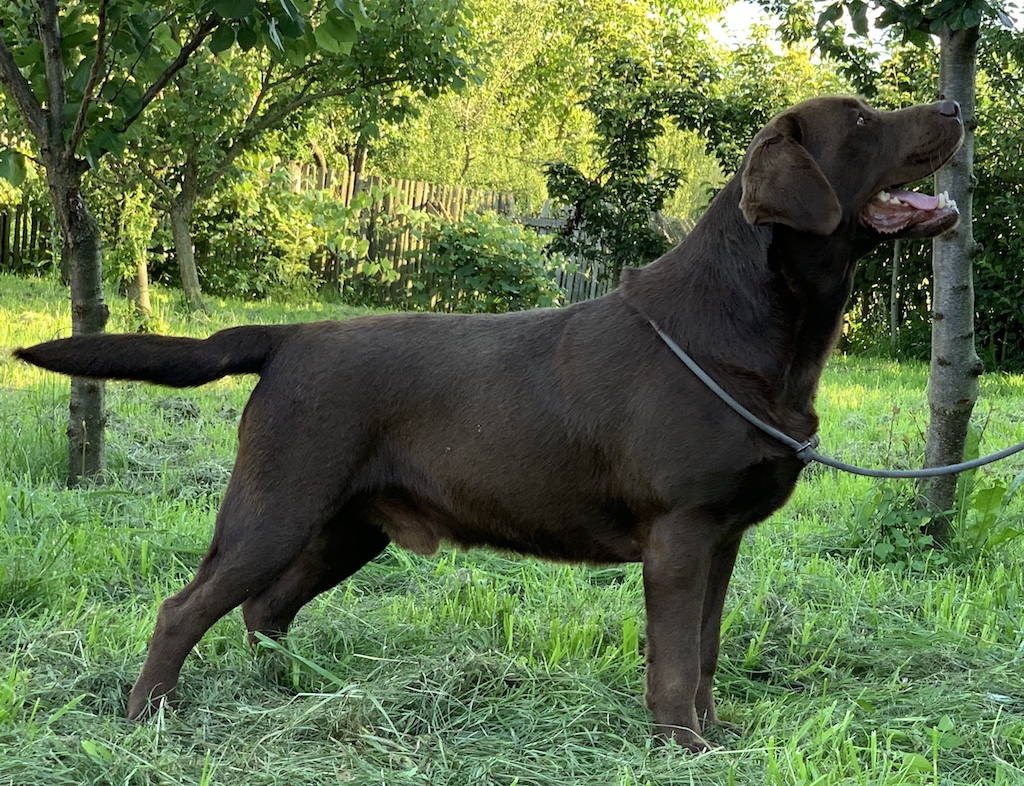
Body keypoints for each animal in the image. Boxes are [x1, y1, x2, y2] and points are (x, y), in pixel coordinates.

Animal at [14, 95, 958, 753]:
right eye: (863, 121)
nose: (954, 108)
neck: (750, 334)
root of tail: (287, 336)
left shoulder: (722, 537)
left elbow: (709, 651)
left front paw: (711, 737)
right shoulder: (681, 535)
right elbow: (675, 661)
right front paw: (680, 749)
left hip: (348, 527)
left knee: (265, 610)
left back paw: (296, 698)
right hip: (275, 509)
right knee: (186, 609)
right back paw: (149, 718)